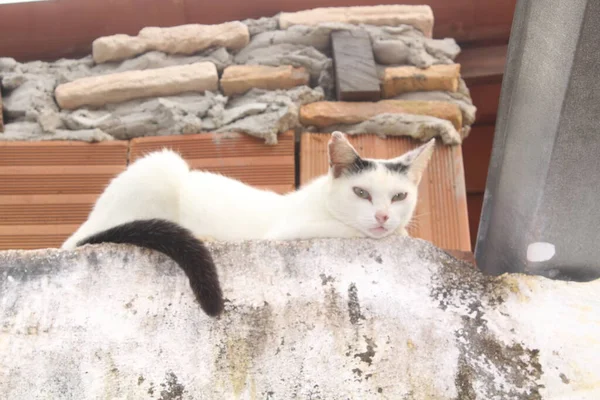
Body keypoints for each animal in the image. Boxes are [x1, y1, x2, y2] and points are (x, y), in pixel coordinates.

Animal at [62, 133, 436, 248]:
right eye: (361, 193)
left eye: (399, 197)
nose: (383, 216)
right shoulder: (289, 232)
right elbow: (352, 231)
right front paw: (399, 234)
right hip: (163, 165)